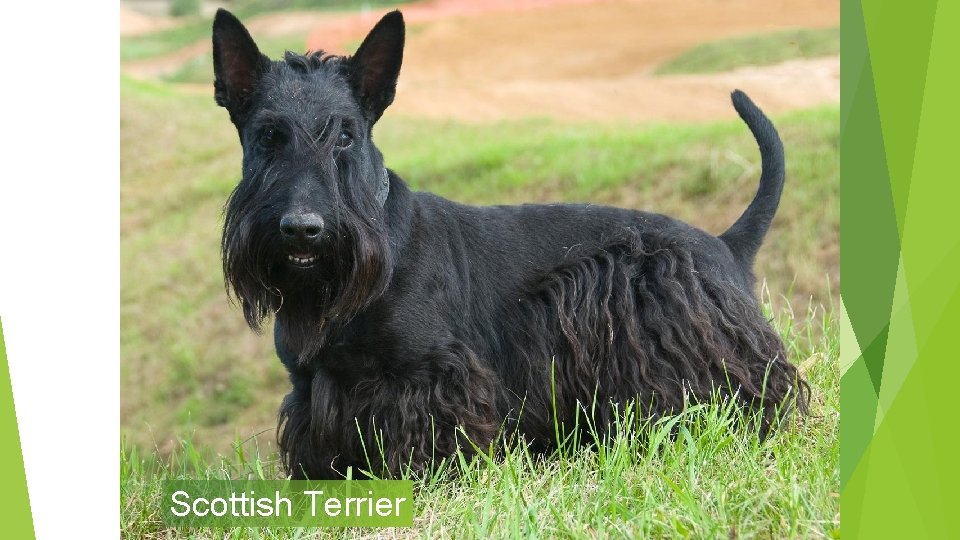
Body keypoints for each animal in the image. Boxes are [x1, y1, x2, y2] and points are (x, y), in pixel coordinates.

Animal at [212, 9, 808, 480]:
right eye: (267, 135)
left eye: (344, 135)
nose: (303, 228)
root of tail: (725, 245)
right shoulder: (311, 389)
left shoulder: (431, 376)